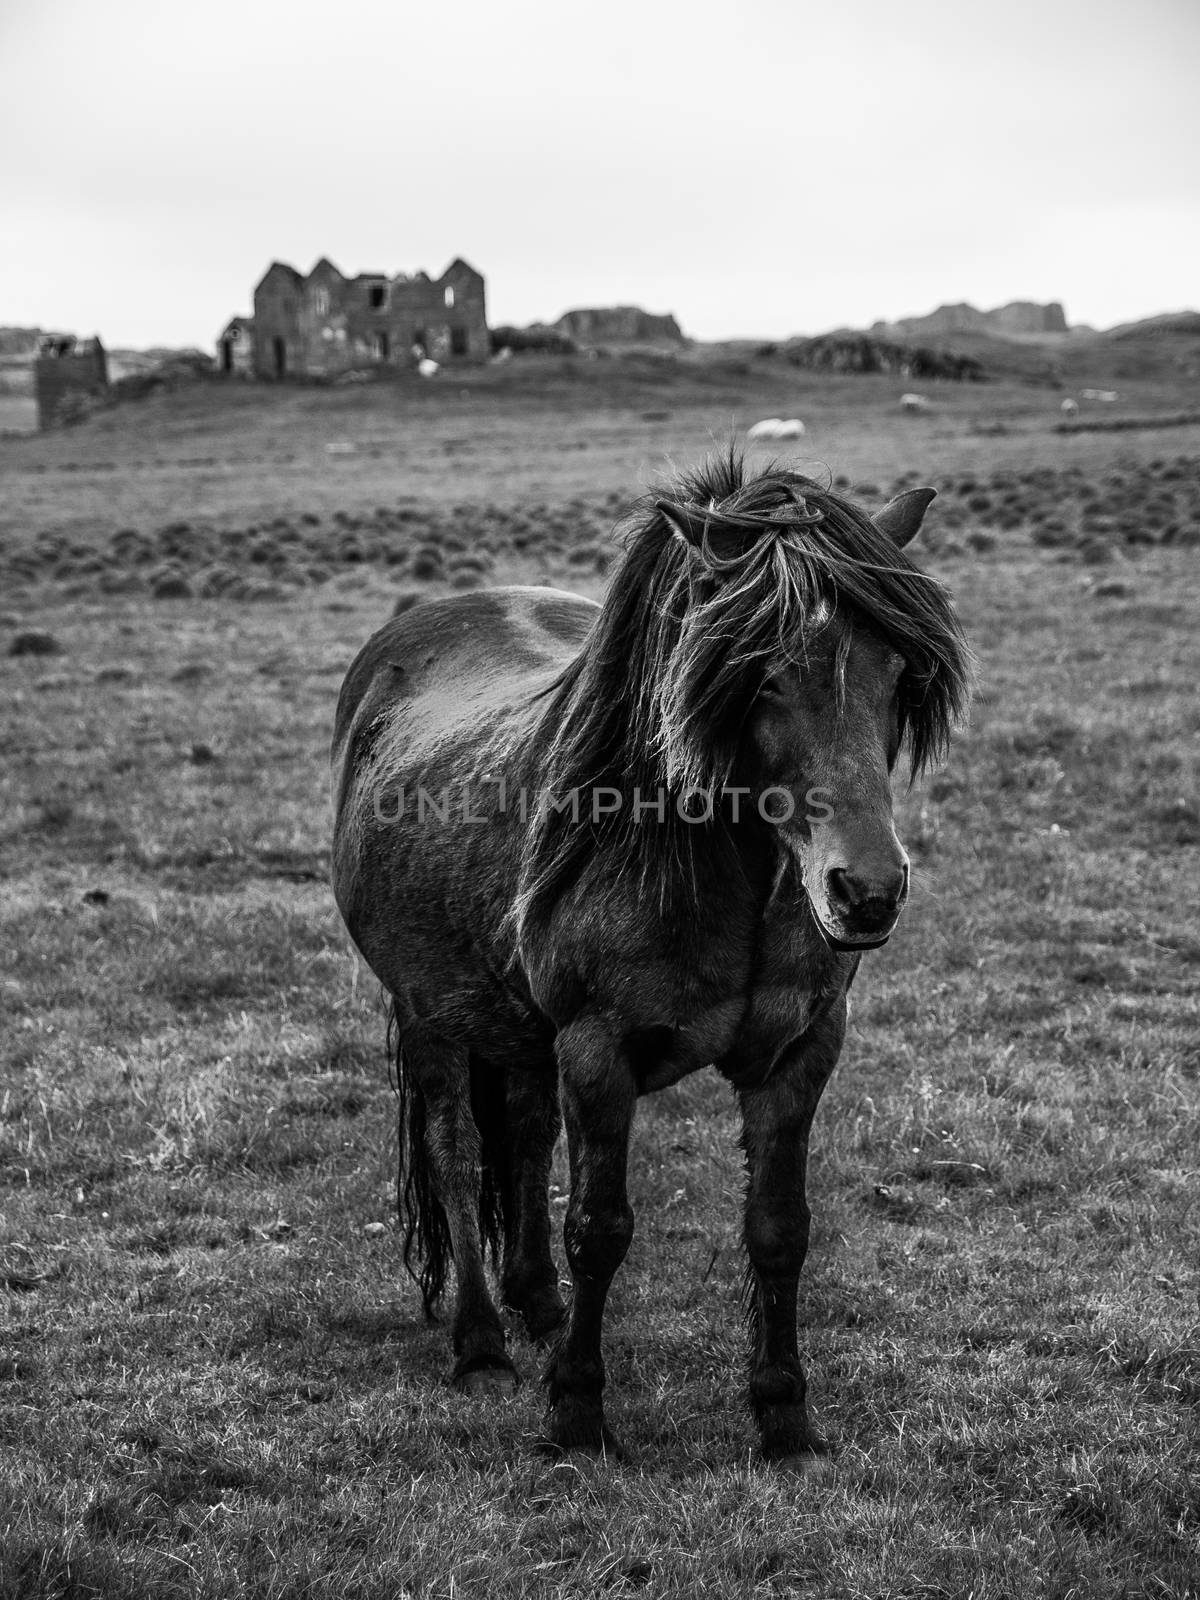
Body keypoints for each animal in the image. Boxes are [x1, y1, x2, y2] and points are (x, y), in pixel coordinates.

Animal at [331, 451, 979, 1465]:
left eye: (897, 670)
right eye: (760, 677)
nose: (866, 892)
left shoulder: (800, 1054)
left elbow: (779, 1228)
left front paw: (785, 1417)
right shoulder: (598, 1053)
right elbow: (599, 1228)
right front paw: (577, 1415)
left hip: (519, 1030)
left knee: (524, 1138)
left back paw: (539, 1307)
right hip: (429, 1012)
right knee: (457, 1151)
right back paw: (482, 1345)